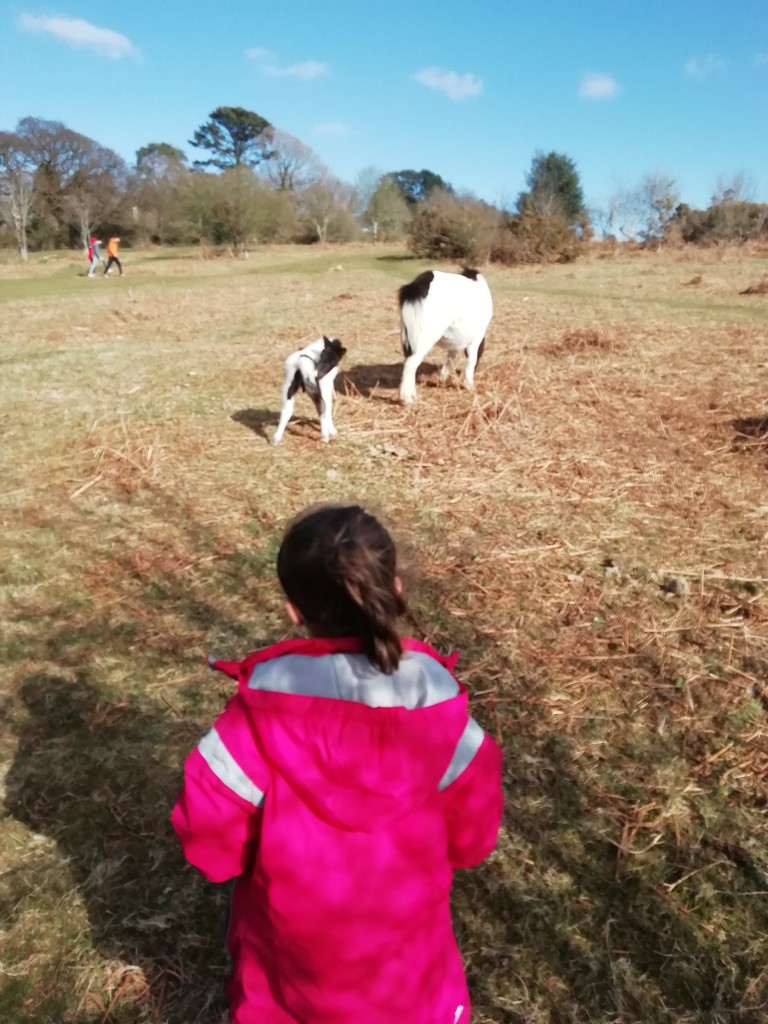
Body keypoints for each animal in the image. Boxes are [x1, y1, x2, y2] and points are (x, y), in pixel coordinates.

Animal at [397, 268, 493, 403]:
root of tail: (415, 287)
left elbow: (450, 359)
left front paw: (442, 380)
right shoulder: (476, 339)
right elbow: (471, 361)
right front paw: (470, 387)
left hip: (409, 337)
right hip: (424, 339)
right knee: (410, 364)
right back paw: (407, 399)